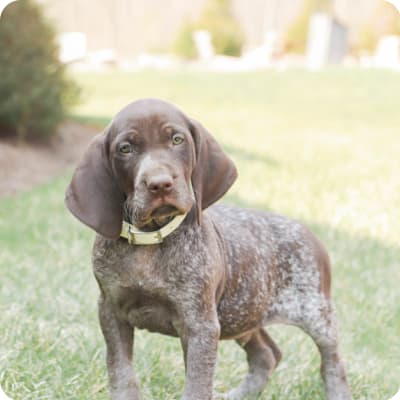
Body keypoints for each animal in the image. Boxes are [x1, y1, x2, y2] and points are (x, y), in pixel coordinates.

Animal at [65, 97, 350, 400]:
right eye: (125, 148)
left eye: (177, 139)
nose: (160, 184)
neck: (150, 240)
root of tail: (309, 233)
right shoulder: (111, 312)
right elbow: (122, 375)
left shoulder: (200, 325)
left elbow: (197, 386)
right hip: (241, 315)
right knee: (266, 354)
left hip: (314, 314)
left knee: (332, 362)